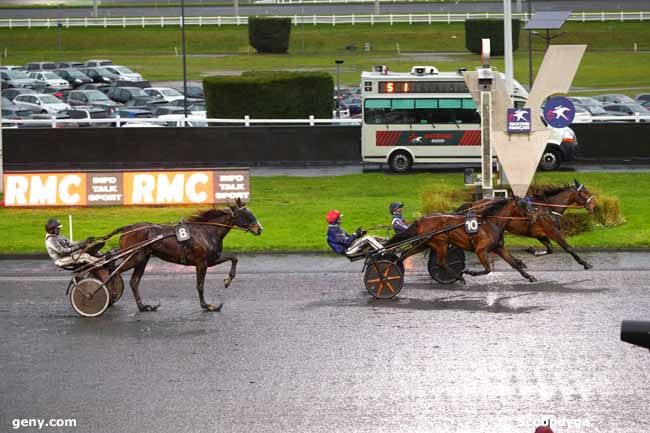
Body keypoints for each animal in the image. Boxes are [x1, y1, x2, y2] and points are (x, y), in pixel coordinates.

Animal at [111, 199, 260, 310]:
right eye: (246, 215)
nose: (260, 229)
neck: (207, 231)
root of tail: (127, 228)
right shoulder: (202, 263)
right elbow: (200, 285)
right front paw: (207, 305)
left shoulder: (212, 259)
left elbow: (234, 258)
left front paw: (227, 281)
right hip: (134, 258)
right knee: (114, 272)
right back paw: (112, 295)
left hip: (142, 259)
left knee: (134, 281)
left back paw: (143, 306)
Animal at [388, 200, 536, 282]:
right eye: (523, 205)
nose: (533, 215)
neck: (490, 223)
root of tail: (421, 220)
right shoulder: (481, 250)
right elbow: (487, 269)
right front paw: (469, 272)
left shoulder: (499, 248)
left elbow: (514, 264)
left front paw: (529, 276)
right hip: (441, 243)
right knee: (441, 262)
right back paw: (459, 277)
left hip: (424, 243)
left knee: (405, 255)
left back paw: (396, 266)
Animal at [456, 178, 592, 266]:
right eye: (585, 192)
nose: (593, 205)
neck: (548, 207)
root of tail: (474, 204)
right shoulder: (552, 231)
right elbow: (568, 247)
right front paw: (584, 263)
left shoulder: (540, 234)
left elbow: (550, 249)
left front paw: (531, 251)